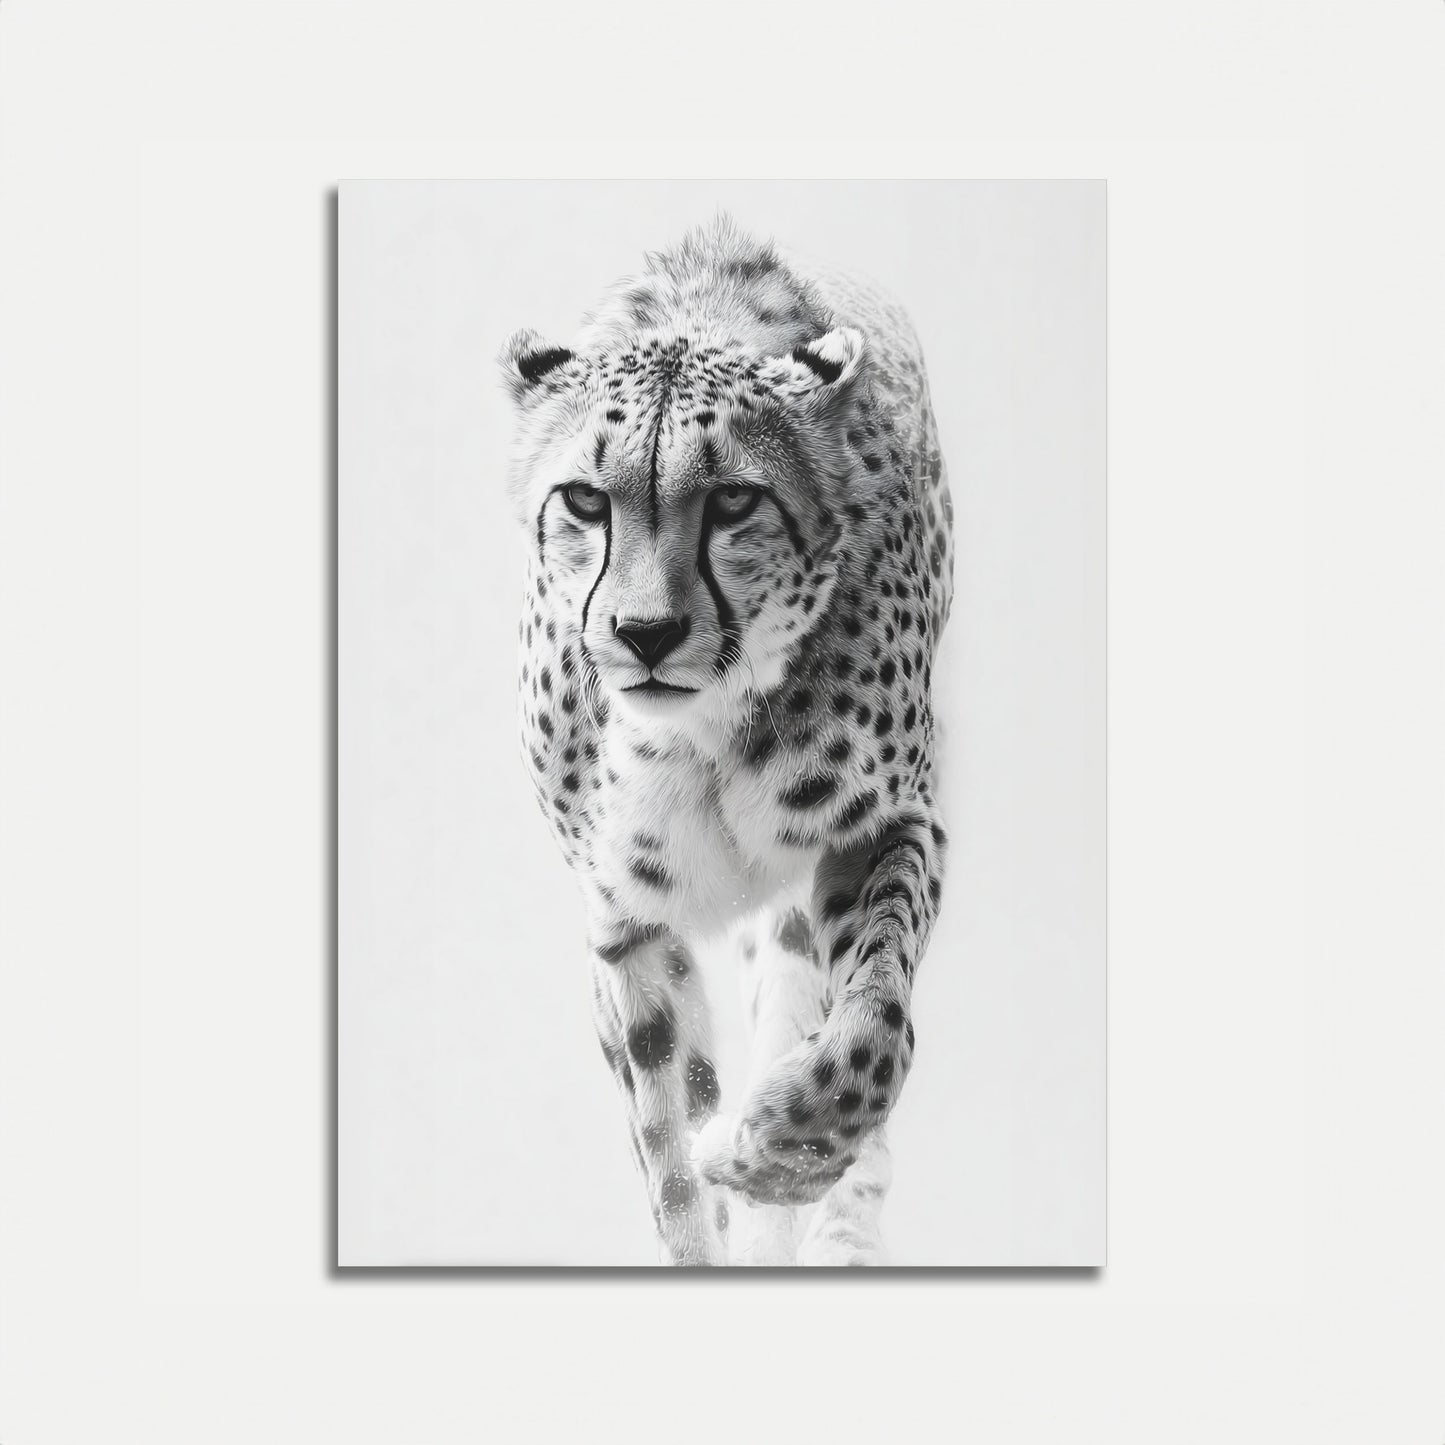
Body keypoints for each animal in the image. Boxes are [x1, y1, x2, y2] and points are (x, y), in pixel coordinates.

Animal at [499, 216, 954, 1266]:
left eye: (736, 501)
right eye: (585, 500)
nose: (645, 632)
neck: (699, 735)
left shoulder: (883, 826)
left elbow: (873, 1019)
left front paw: (782, 1148)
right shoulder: (625, 919)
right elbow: (669, 1151)